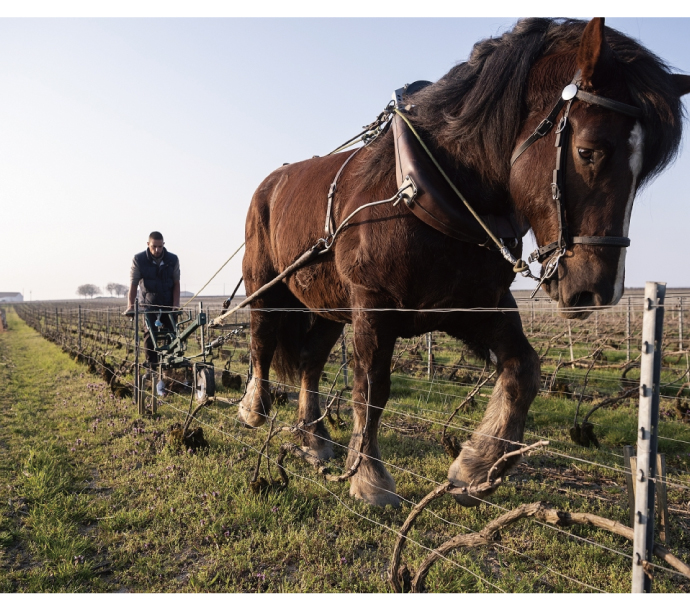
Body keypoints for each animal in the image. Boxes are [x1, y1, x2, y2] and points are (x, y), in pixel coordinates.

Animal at [235, 17, 688, 504]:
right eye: (588, 151)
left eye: (643, 172)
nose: (599, 291)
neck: (432, 188)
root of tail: (271, 181)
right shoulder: (373, 303)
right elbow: (371, 388)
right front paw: (370, 479)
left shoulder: (474, 304)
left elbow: (524, 369)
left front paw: (475, 466)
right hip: (265, 282)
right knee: (262, 338)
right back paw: (254, 408)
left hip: (327, 304)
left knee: (310, 361)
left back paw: (314, 438)